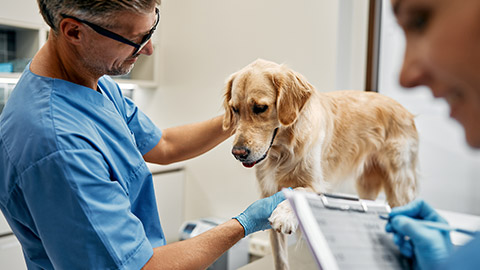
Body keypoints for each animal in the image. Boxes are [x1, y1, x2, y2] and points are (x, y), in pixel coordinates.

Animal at [223, 59, 418, 270]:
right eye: (235, 109)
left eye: (260, 108)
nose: (238, 153)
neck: (282, 153)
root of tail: (405, 110)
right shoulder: (268, 193)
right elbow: (280, 259)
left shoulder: (316, 185)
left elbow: (299, 191)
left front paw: (284, 214)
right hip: (367, 185)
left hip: (399, 188)